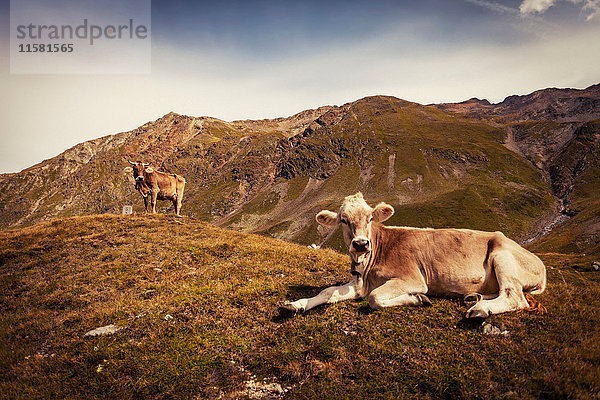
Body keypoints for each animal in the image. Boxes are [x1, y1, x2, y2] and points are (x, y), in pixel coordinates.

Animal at [278, 192, 548, 320]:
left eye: (371, 218)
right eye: (343, 220)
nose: (361, 244)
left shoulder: (412, 278)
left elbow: (375, 298)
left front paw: (418, 299)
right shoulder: (359, 284)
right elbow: (327, 292)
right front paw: (296, 304)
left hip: (502, 256)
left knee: (515, 297)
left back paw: (480, 309)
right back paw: (474, 298)